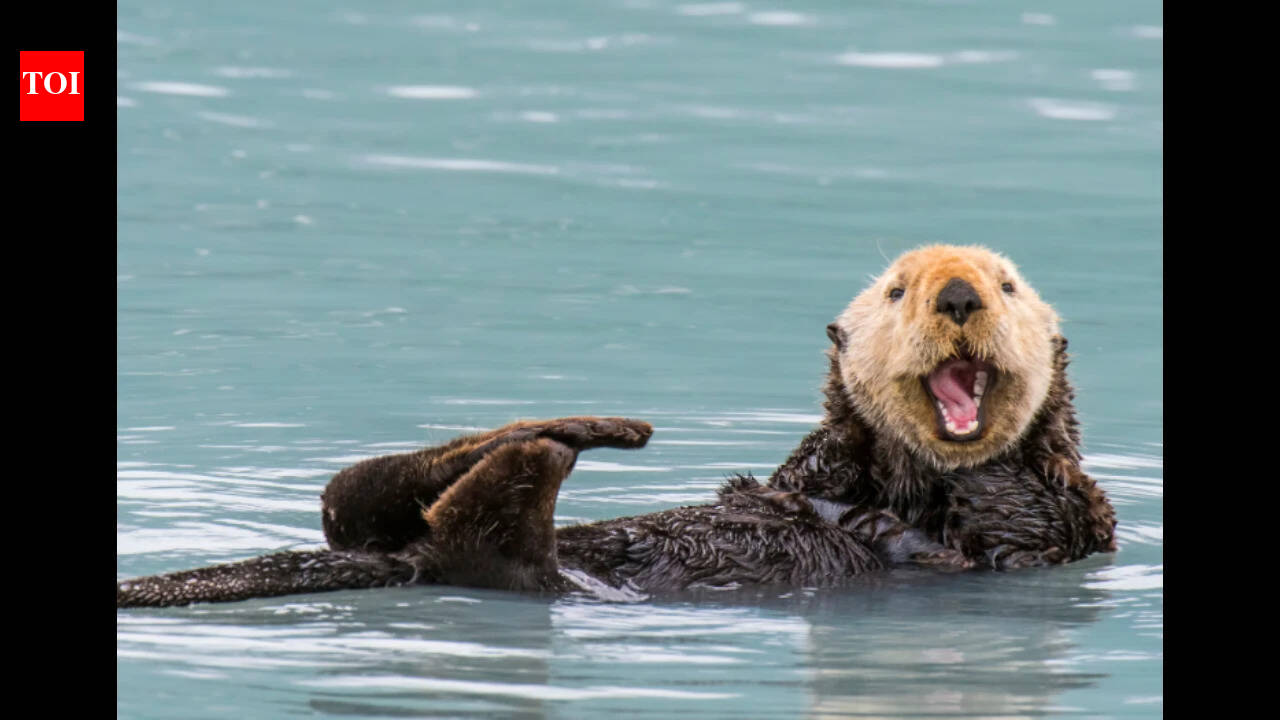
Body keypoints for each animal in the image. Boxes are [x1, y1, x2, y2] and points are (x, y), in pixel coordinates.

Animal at [116, 246, 1115, 608]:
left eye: (1008, 285)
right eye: (899, 291)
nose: (958, 296)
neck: (906, 478)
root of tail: (402, 560)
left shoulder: (1065, 522)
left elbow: (1012, 514)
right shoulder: (811, 472)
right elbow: (795, 479)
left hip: (525, 573)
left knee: (465, 535)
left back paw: (552, 447)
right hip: (397, 529)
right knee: (352, 497)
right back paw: (576, 428)